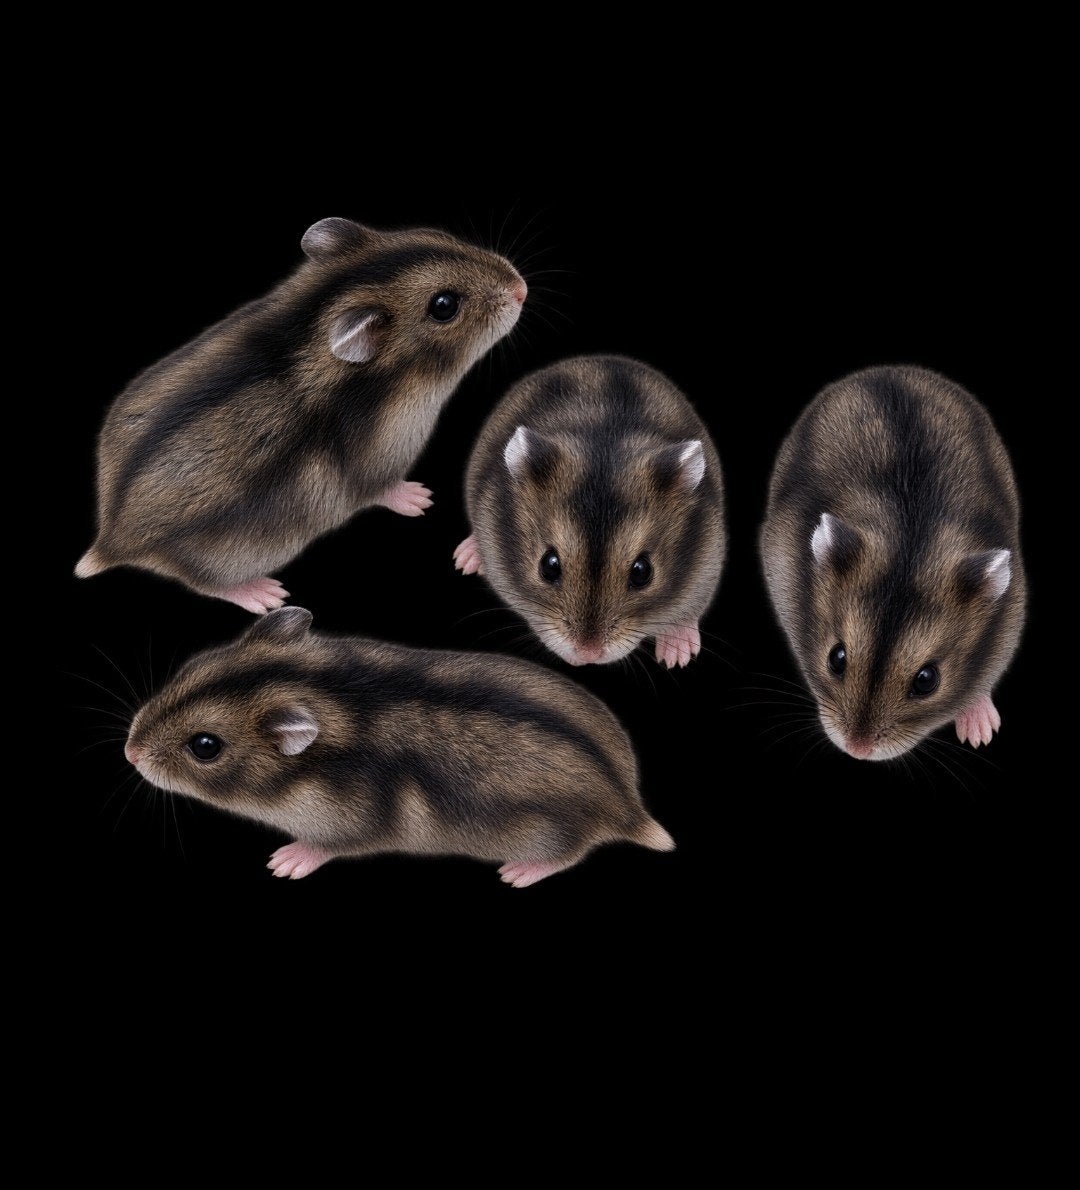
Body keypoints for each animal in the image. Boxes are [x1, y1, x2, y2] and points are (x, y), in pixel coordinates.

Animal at [76, 217, 526, 613]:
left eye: (435, 233)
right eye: (444, 306)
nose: (521, 288)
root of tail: (109, 540)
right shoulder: (381, 460)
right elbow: (384, 489)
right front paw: (422, 499)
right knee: (203, 582)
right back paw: (266, 595)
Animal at [124, 607, 674, 887]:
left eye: (205, 746)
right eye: (193, 665)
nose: (129, 752)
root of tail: (630, 805)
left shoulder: (343, 822)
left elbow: (325, 846)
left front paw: (283, 863)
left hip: (550, 833)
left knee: (571, 852)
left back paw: (516, 873)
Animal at [454, 355, 725, 667]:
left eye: (642, 572)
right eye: (549, 565)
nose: (588, 655)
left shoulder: (707, 564)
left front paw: (677, 658)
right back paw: (465, 558)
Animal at [760, 365, 1026, 761]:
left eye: (927, 680)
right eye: (836, 658)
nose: (858, 751)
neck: (910, 545)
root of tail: (894, 369)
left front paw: (981, 735)